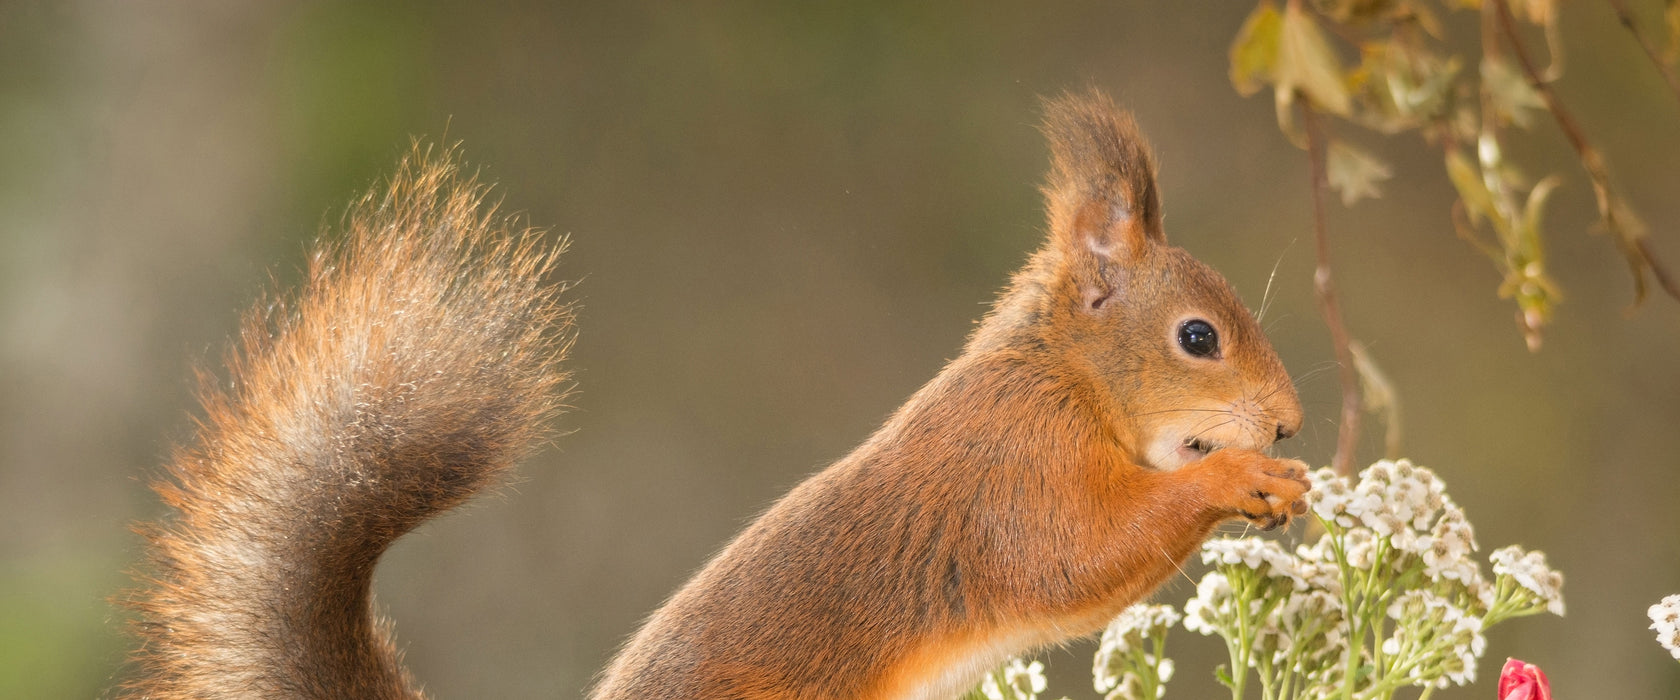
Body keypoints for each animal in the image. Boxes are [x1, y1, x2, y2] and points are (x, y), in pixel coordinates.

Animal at [121, 89, 1310, 694]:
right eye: (1198, 337)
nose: (1291, 422)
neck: (1059, 373)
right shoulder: (1012, 466)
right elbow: (1077, 555)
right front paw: (1243, 480)